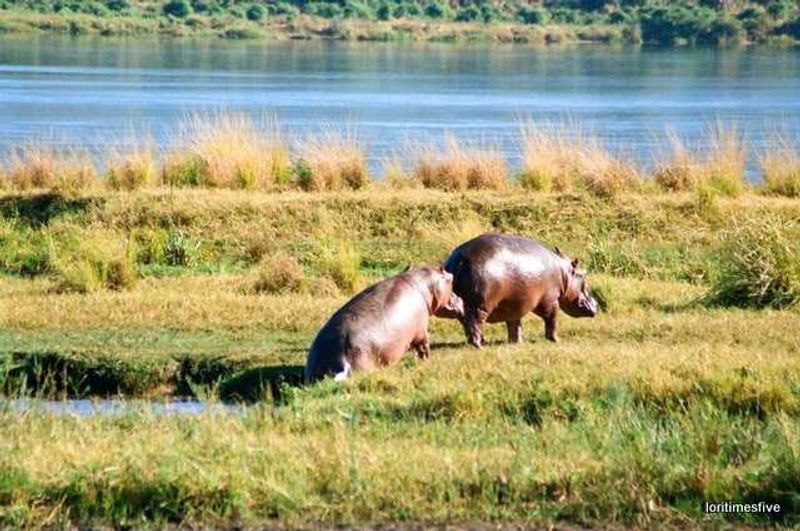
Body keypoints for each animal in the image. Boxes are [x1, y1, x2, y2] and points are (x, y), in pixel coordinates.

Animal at [304, 266, 464, 383]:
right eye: (448, 279)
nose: (460, 299)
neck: (424, 284)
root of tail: (340, 360)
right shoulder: (421, 331)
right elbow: (423, 347)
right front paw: (425, 361)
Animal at [443, 233, 598, 347]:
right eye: (583, 275)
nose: (596, 304)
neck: (564, 273)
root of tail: (460, 260)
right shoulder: (550, 301)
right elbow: (552, 319)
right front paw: (556, 340)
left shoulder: (514, 305)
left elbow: (514, 325)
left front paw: (516, 343)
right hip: (480, 305)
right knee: (474, 322)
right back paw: (479, 344)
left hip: (465, 305)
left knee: (466, 323)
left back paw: (481, 342)